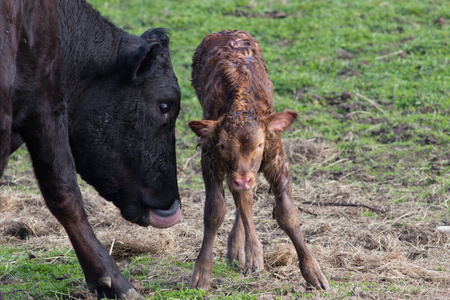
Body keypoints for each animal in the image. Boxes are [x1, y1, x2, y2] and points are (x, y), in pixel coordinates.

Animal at [188, 30, 328, 290]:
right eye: (223, 145)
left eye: (260, 144)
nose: (243, 179)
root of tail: (226, 32)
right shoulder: (210, 157)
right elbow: (215, 211)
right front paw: (202, 272)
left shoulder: (277, 158)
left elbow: (287, 214)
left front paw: (313, 272)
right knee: (242, 199)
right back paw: (243, 250)